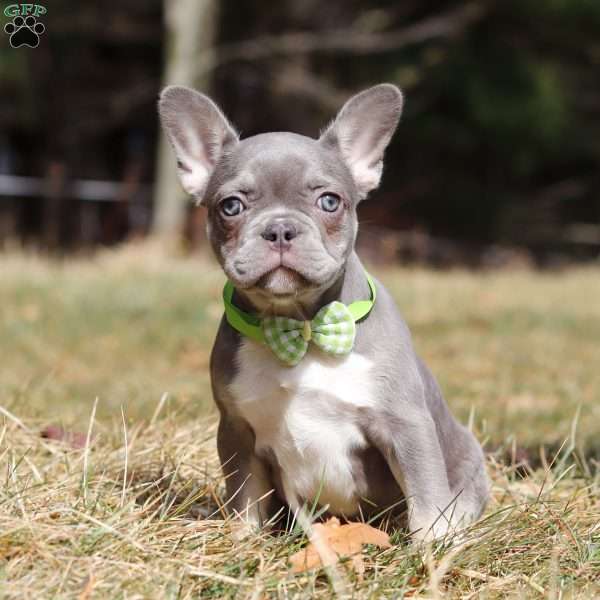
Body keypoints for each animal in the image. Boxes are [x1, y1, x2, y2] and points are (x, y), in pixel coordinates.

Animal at [158, 83, 488, 540]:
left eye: (329, 202)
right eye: (231, 207)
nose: (280, 228)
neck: (301, 326)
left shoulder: (405, 426)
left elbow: (425, 497)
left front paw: (431, 548)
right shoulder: (237, 430)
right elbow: (246, 495)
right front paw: (245, 540)